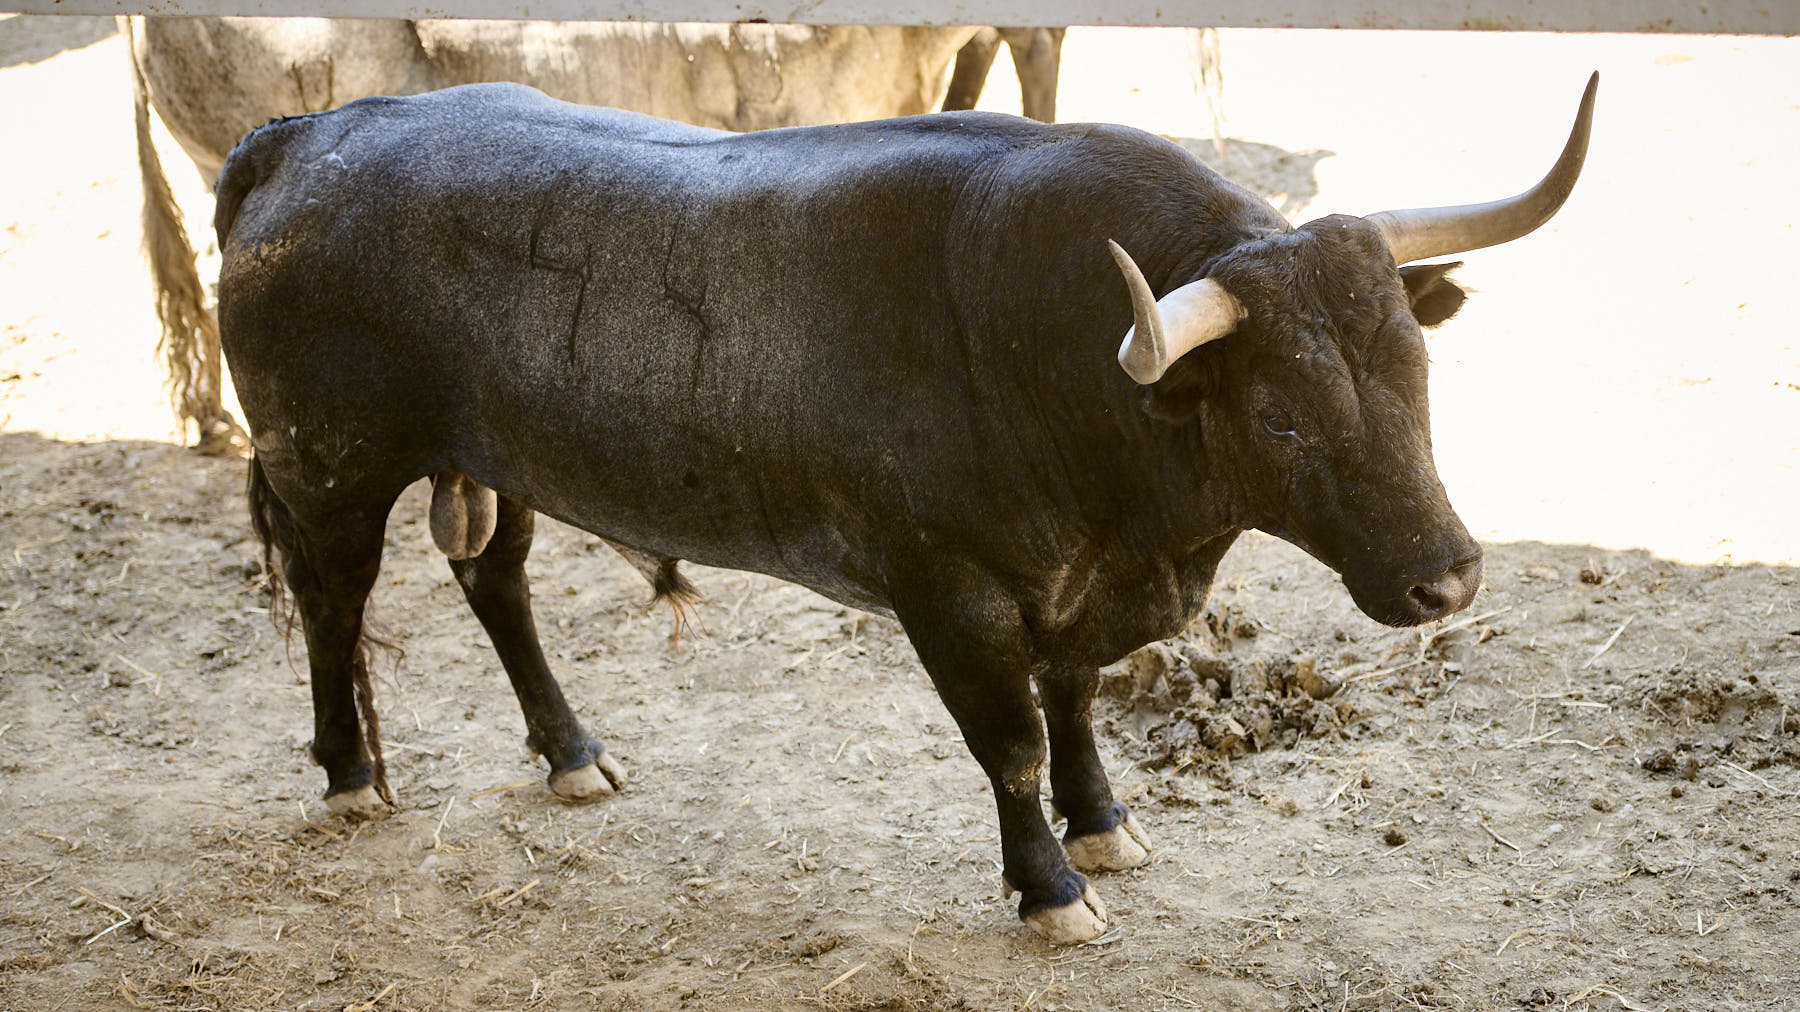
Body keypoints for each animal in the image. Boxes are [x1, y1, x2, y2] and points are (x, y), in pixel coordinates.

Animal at [217, 76, 1598, 936]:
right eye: (1282, 419)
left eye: (1415, 372)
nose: (1449, 578)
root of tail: (305, 135)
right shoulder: (953, 597)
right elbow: (1014, 741)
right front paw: (1051, 889)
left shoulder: (1073, 587)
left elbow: (1074, 703)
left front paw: (1106, 827)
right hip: (331, 464)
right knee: (338, 603)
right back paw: (351, 777)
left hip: (491, 458)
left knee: (494, 581)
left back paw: (573, 753)